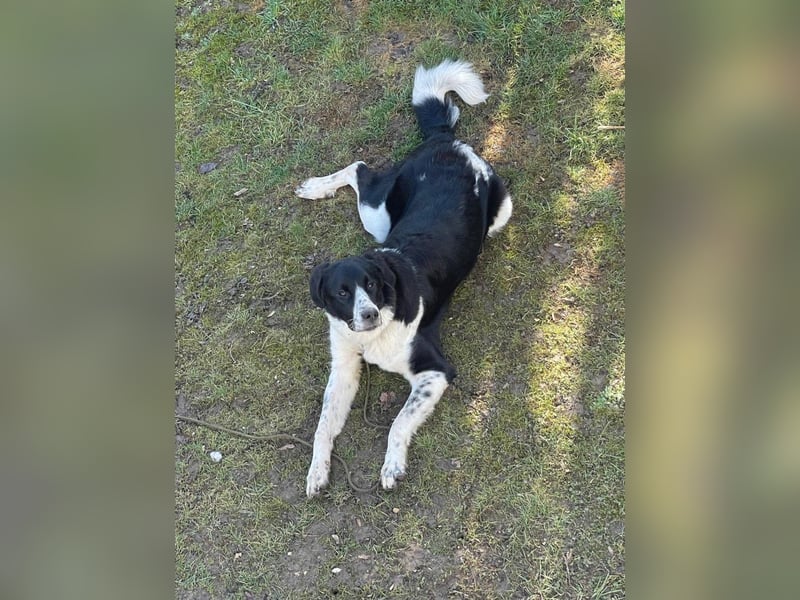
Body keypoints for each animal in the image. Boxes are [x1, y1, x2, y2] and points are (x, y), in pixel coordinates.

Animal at [296, 60, 512, 497]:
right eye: (341, 293)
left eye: (373, 285)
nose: (369, 315)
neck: (370, 340)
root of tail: (446, 141)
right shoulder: (343, 369)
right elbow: (323, 426)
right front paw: (316, 470)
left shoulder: (434, 372)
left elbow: (397, 423)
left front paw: (392, 465)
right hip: (378, 217)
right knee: (359, 169)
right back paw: (315, 188)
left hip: (499, 212)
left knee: (361, 169)